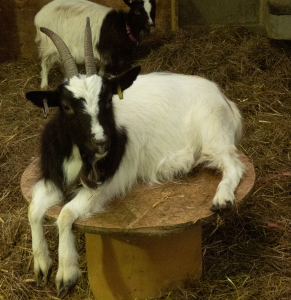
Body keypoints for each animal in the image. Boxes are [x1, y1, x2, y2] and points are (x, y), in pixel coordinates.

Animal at [25, 18, 245, 298]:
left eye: (108, 100)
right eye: (65, 106)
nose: (101, 142)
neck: (80, 154)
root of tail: (224, 99)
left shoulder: (108, 182)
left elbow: (65, 213)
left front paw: (66, 275)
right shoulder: (54, 176)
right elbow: (33, 209)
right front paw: (41, 266)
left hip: (213, 134)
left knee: (233, 165)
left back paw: (222, 199)